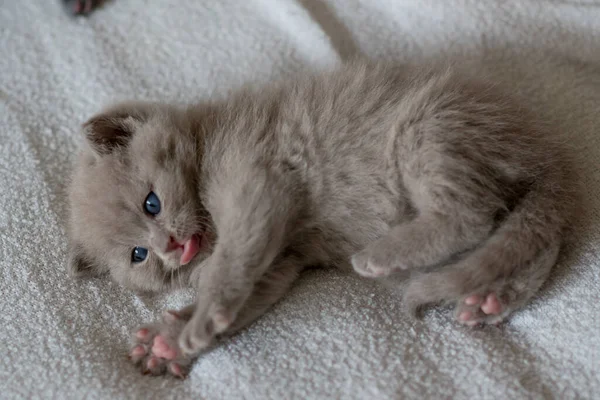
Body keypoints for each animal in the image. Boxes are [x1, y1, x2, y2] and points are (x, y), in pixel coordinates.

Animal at [65, 61, 576, 376]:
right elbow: (252, 293)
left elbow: (230, 265)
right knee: (526, 240)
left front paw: (198, 317)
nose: (169, 247)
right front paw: (168, 342)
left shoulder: (259, 182)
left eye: (152, 203)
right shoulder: (280, 260)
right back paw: (490, 299)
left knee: (471, 214)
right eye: (138, 255)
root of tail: (545, 151)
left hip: (427, 129)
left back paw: (381, 255)